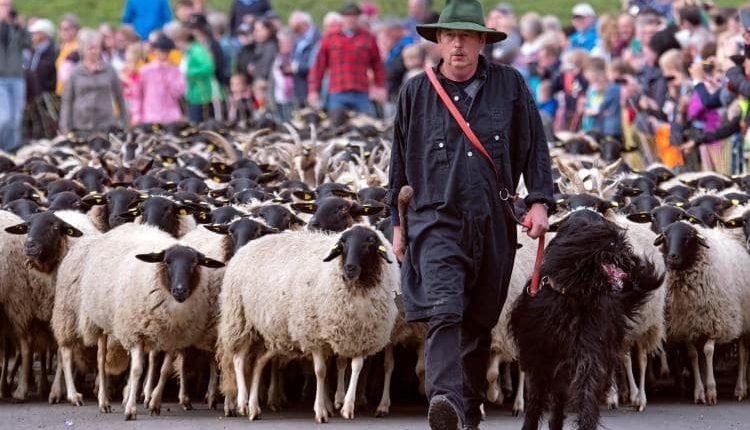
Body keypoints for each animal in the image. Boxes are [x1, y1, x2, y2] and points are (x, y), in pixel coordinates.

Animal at [76, 223, 224, 419]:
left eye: (194, 263)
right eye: (167, 262)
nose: (180, 290)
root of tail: (127, 225)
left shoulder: (172, 337)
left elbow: (164, 370)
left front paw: (154, 403)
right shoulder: (136, 332)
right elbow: (137, 370)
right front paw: (131, 409)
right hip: (99, 321)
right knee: (101, 360)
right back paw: (104, 402)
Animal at [217, 225, 398, 422]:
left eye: (370, 241)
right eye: (343, 243)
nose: (350, 268)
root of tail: (247, 247)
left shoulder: (361, 337)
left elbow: (356, 367)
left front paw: (348, 407)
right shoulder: (313, 334)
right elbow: (320, 371)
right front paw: (321, 411)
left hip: (268, 333)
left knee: (258, 364)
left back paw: (254, 408)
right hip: (240, 318)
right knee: (238, 359)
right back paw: (242, 403)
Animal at [654, 221, 750, 404]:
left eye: (688, 237)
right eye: (666, 237)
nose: (672, 257)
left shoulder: (714, 323)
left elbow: (708, 351)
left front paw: (711, 391)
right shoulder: (686, 327)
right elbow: (693, 356)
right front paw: (699, 392)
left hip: (744, 322)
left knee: (742, 354)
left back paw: (740, 389)